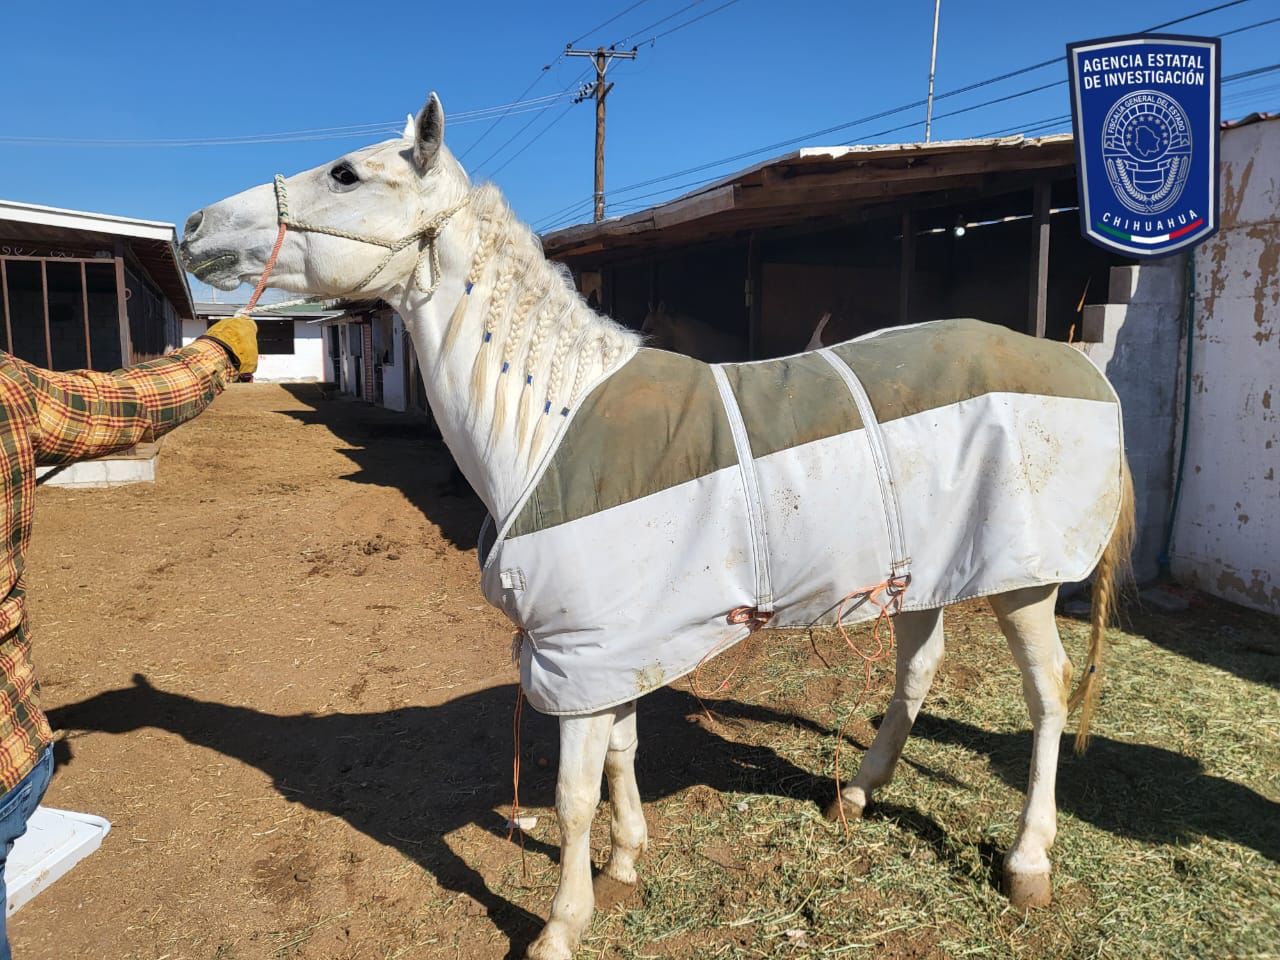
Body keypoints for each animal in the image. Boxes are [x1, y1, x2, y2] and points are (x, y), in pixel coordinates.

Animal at [183, 92, 1141, 960]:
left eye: (345, 173)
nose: (193, 226)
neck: (550, 422)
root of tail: (1079, 366)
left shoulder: (580, 649)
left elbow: (573, 793)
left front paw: (561, 925)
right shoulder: (612, 646)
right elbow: (622, 752)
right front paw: (625, 864)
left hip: (1023, 579)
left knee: (1049, 693)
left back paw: (1027, 862)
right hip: (926, 572)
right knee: (918, 671)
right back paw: (858, 796)